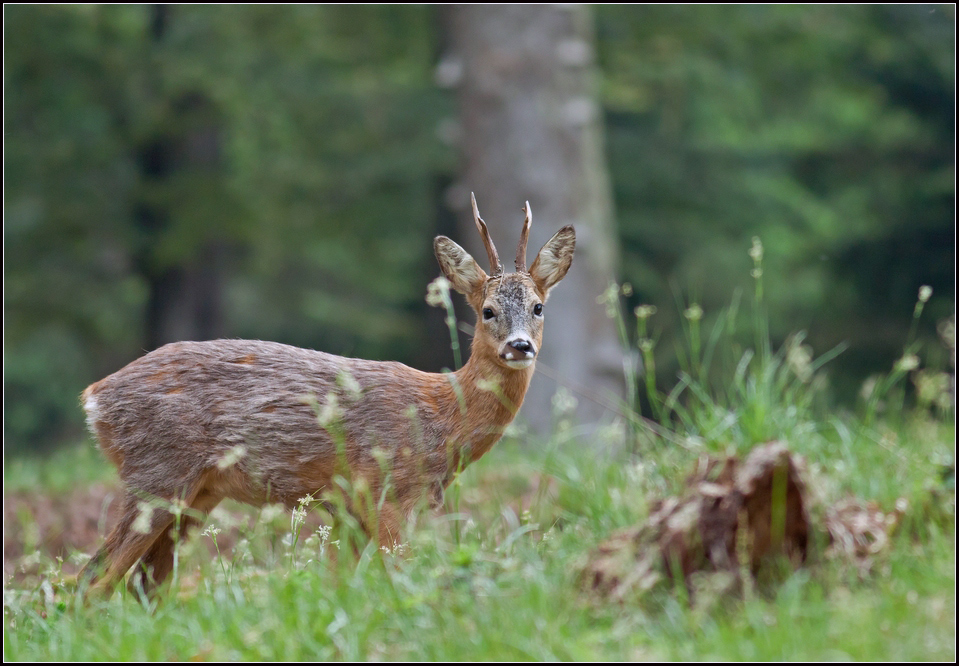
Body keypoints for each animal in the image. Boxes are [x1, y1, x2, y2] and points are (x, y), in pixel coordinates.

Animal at [79, 193, 572, 596]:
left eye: (538, 307)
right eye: (487, 311)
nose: (520, 346)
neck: (440, 416)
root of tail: (94, 397)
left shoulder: (349, 508)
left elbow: (338, 584)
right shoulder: (384, 489)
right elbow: (400, 574)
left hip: (196, 494)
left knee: (143, 583)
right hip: (157, 472)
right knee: (95, 577)